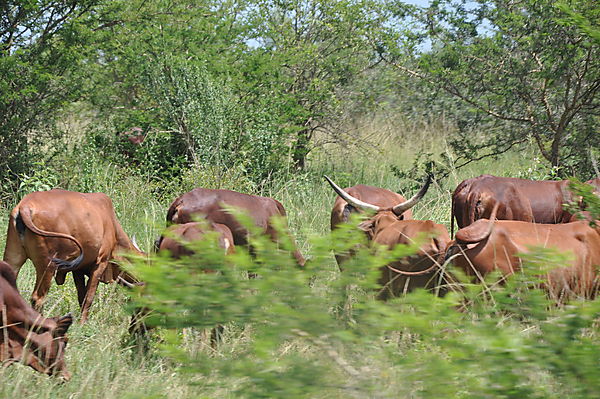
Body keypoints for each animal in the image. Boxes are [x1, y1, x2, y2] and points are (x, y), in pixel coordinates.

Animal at [2, 189, 144, 324]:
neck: (112, 225)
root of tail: (25, 206)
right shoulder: (101, 262)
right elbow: (89, 297)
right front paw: (83, 324)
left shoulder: (78, 269)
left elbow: (81, 296)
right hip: (48, 265)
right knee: (38, 298)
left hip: (13, 257)